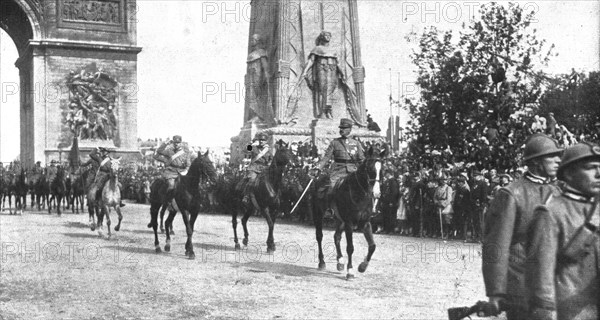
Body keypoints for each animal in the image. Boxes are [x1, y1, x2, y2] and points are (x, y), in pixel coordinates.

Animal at [314, 146, 384, 280]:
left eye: (382, 169)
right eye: (370, 168)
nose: (377, 194)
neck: (359, 194)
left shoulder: (365, 223)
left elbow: (372, 246)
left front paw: (362, 266)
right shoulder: (349, 223)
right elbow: (350, 247)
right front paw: (350, 271)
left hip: (339, 220)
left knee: (336, 237)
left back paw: (340, 262)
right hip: (318, 215)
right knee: (319, 237)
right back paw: (322, 262)